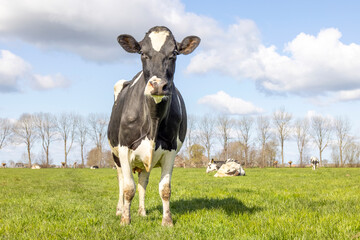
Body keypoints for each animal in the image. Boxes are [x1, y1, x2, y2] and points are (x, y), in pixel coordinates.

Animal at [108, 26, 201, 227]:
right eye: (143, 53)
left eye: (174, 53)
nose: (158, 85)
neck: (153, 119)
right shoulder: (124, 147)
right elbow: (128, 188)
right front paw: (125, 220)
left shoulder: (171, 149)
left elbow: (165, 188)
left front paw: (167, 221)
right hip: (115, 155)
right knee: (121, 180)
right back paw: (120, 210)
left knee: (143, 182)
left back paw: (142, 212)